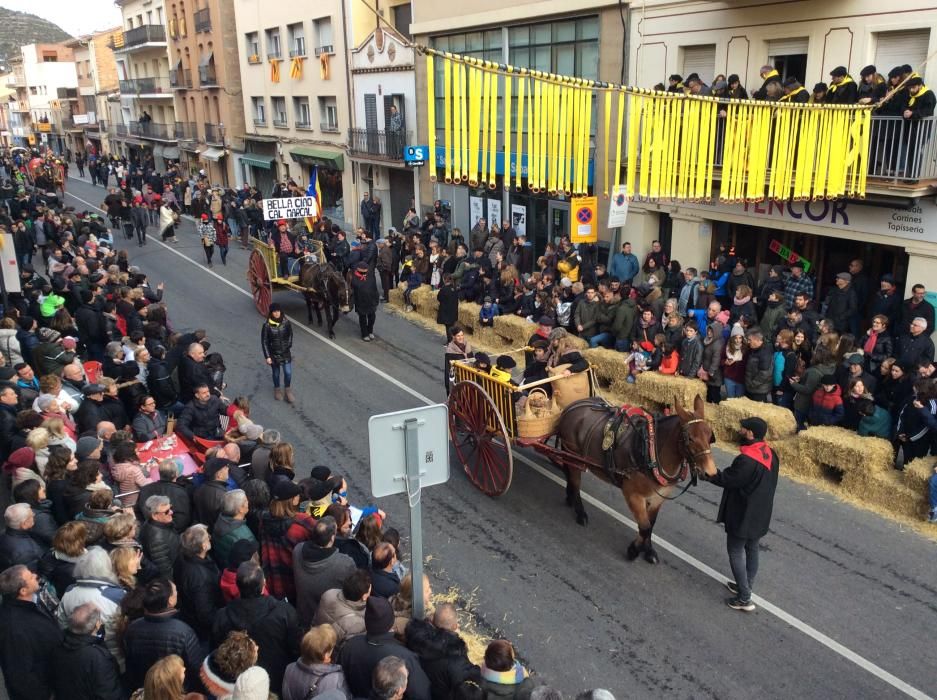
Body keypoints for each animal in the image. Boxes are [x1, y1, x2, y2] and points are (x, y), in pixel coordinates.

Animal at [556, 394, 716, 564]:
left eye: (710, 436)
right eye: (690, 438)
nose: (711, 472)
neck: (651, 451)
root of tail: (573, 405)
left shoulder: (658, 497)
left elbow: (651, 525)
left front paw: (649, 550)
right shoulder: (633, 494)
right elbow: (644, 527)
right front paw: (633, 550)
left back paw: (570, 498)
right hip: (574, 455)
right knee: (575, 483)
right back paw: (580, 512)